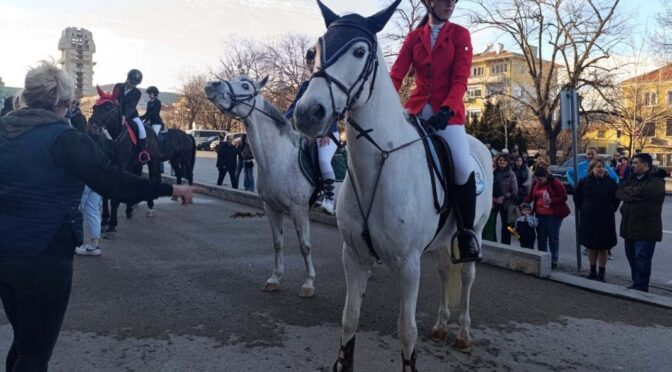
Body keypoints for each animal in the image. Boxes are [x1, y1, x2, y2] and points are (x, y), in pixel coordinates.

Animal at [205, 75, 318, 296]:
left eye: (245, 85)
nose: (211, 85)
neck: (280, 158)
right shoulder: (272, 208)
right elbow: (277, 243)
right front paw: (275, 278)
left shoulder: (299, 209)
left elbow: (305, 245)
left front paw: (308, 283)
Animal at [292, 1, 494, 370]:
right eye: (313, 51)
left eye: (359, 51)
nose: (308, 114)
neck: (380, 164)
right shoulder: (354, 257)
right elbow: (349, 321)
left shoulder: (408, 264)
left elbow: (407, 331)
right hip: (440, 241)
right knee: (444, 271)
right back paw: (441, 326)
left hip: (473, 230)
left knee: (467, 276)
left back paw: (462, 333)